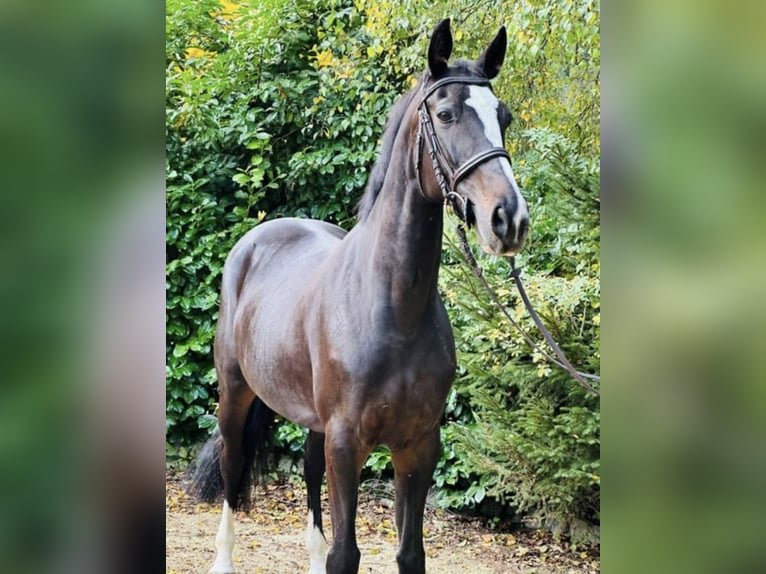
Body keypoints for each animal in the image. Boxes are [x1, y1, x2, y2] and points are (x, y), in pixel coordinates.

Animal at [189, 18, 529, 574]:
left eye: (504, 116)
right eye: (445, 114)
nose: (509, 219)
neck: (392, 308)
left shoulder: (418, 445)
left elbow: (409, 553)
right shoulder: (348, 443)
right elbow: (346, 554)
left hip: (313, 421)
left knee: (307, 470)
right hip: (234, 392)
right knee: (232, 464)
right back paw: (223, 557)